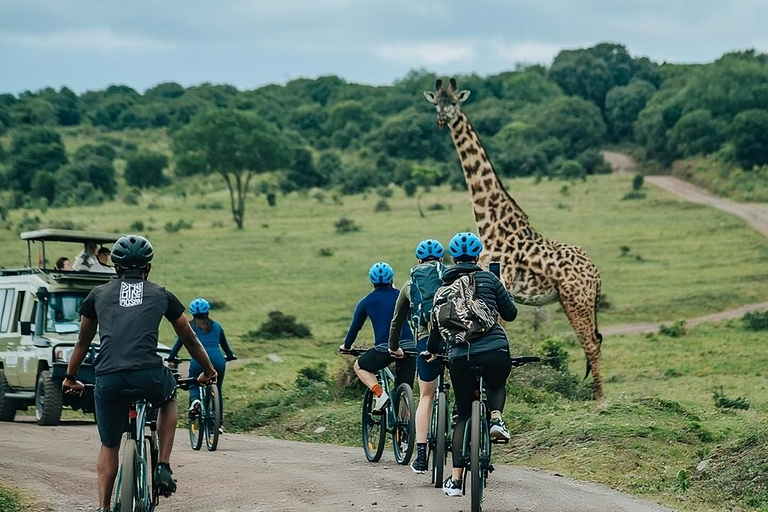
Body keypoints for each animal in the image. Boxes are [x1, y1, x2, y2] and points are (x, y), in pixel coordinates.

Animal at [426, 78, 608, 400]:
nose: (441, 120)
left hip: (577, 300)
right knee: (595, 342)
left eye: (454, 103)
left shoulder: (499, 285)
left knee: (591, 343)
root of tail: (595, 274)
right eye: (436, 102)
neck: (490, 223)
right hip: (581, 302)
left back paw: (600, 400)